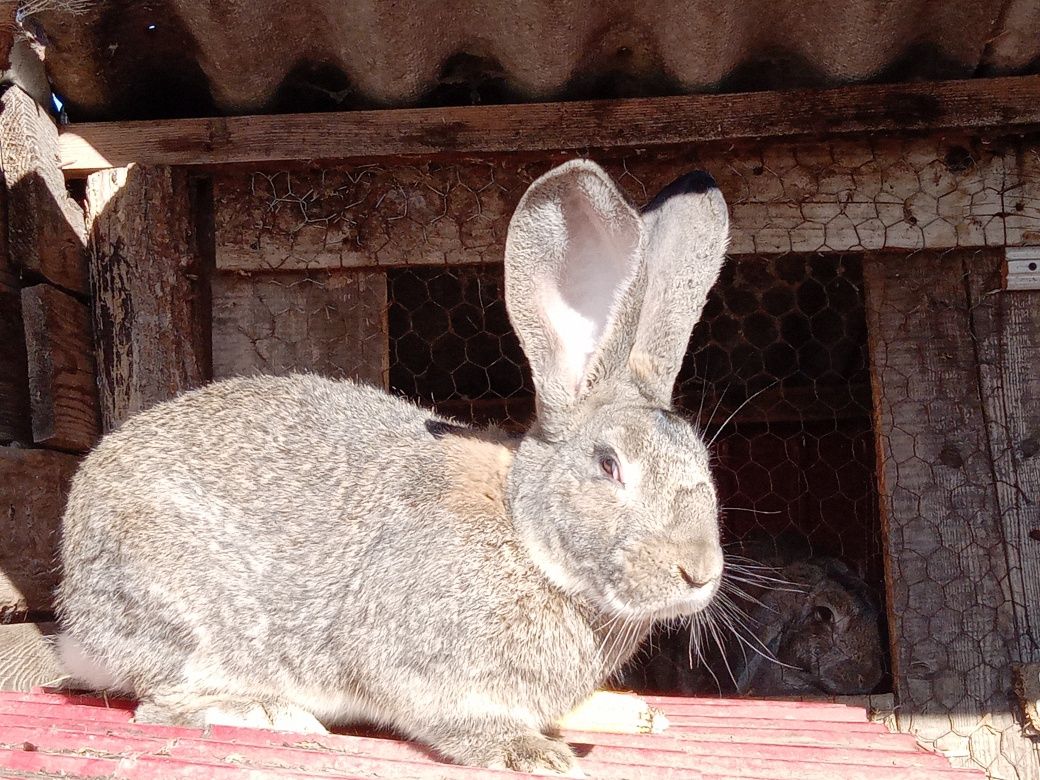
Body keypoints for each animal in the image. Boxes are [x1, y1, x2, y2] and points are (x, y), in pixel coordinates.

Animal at [52, 159, 728, 777]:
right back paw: (270, 714)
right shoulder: (421, 666)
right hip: (179, 612)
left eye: (701, 460)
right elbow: (452, 717)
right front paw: (534, 755)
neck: (524, 534)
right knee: (158, 703)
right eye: (610, 464)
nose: (699, 572)